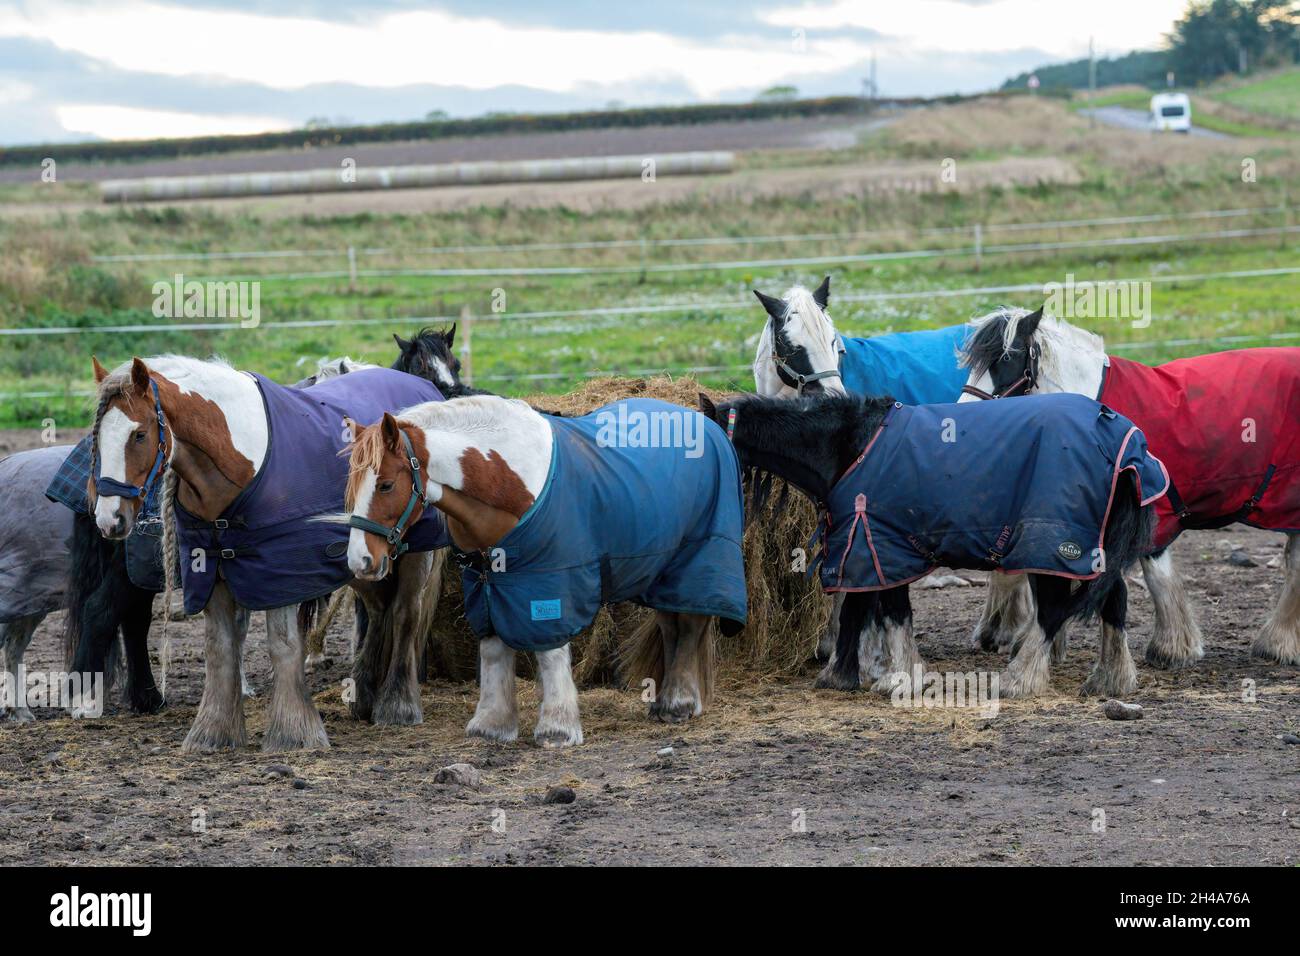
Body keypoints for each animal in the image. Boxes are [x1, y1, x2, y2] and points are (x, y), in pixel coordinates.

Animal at [89, 356, 449, 749]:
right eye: (97, 438)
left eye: (139, 434)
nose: (109, 519)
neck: (239, 459)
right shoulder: (211, 566)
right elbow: (220, 647)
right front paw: (213, 733)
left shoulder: (281, 571)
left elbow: (284, 645)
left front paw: (295, 731)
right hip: (365, 555)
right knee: (380, 608)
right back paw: (364, 695)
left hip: (411, 553)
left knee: (404, 613)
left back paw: (398, 705)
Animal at [343, 392, 754, 743]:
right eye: (351, 486)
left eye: (385, 485)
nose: (359, 561)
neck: (505, 480)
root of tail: (708, 424)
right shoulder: (486, 583)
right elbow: (493, 649)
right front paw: (492, 724)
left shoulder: (550, 582)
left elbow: (550, 652)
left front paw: (557, 727)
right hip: (662, 571)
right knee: (672, 625)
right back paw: (673, 701)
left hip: (699, 560)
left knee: (691, 624)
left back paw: (678, 703)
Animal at [702, 390, 1170, 697]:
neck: (848, 447)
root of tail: (1123, 440)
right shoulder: (871, 549)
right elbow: (869, 612)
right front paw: (862, 675)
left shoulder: (875, 545)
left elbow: (880, 613)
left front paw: (889, 677)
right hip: (1089, 549)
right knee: (1114, 600)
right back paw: (1110, 680)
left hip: (1050, 547)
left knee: (1054, 612)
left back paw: (1018, 680)